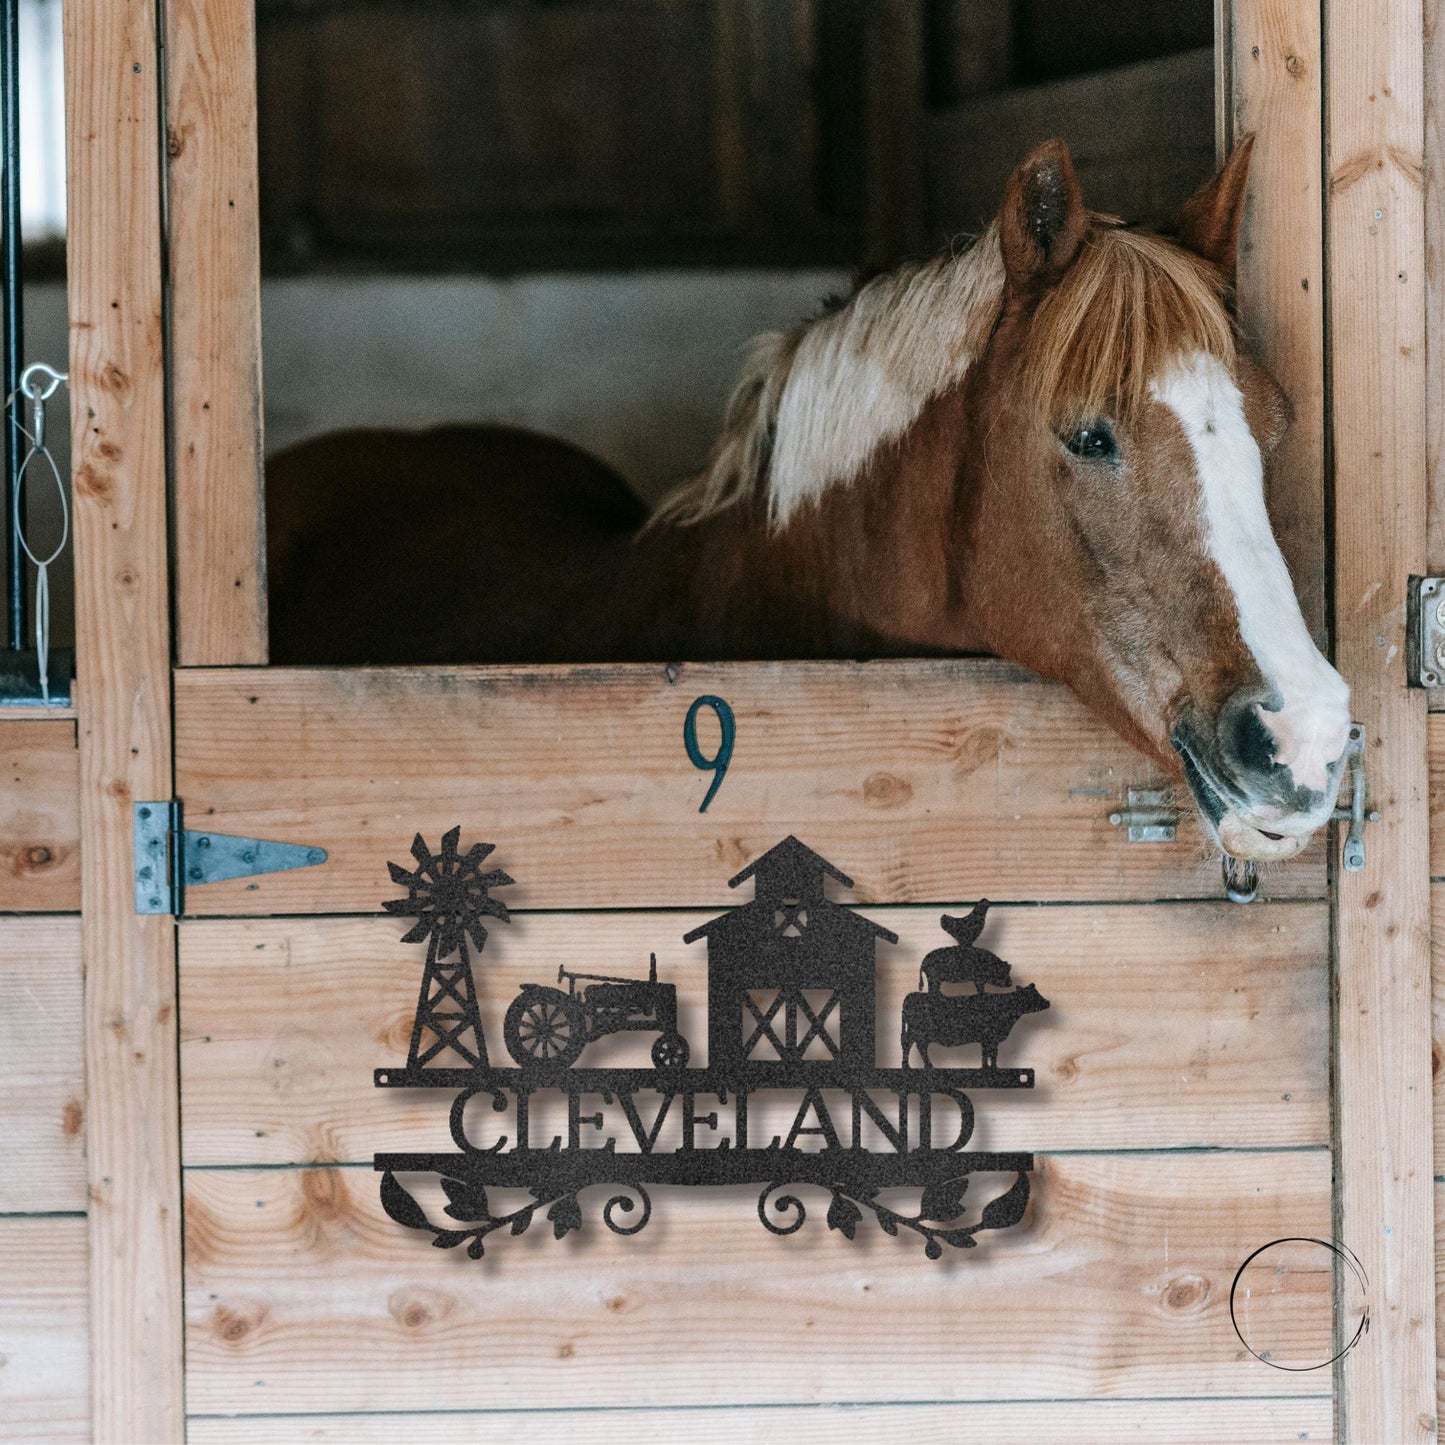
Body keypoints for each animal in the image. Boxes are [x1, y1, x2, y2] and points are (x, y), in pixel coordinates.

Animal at [901, 983, 1050, 1070]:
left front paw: (989, 1067)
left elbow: (988, 1053)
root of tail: (911, 995)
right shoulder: (990, 1037)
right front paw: (991, 1069)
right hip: (916, 1031)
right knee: (908, 1043)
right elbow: (991, 1052)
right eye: (1033, 995)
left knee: (920, 1046)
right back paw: (908, 1066)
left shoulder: (989, 1039)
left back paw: (927, 1066)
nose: (1048, 1002)